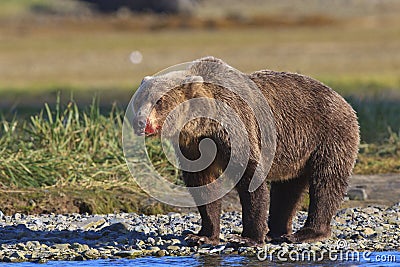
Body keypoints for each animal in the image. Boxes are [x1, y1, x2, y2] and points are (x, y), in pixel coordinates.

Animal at [130, 56, 360, 247]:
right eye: (139, 99)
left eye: (159, 101)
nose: (140, 122)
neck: (203, 126)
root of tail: (343, 99)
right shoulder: (193, 146)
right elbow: (202, 183)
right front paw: (202, 235)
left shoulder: (238, 129)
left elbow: (250, 177)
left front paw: (248, 237)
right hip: (296, 153)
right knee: (288, 188)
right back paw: (278, 231)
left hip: (327, 134)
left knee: (326, 182)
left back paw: (308, 232)